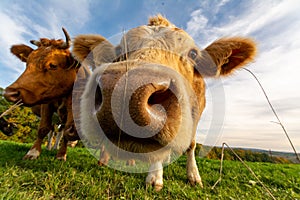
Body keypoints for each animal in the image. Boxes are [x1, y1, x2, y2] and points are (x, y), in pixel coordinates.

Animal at [73, 15, 258, 191]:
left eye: (193, 54)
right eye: (119, 50)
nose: (122, 94)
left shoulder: (197, 114)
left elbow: (191, 145)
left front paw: (194, 176)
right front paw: (155, 178)